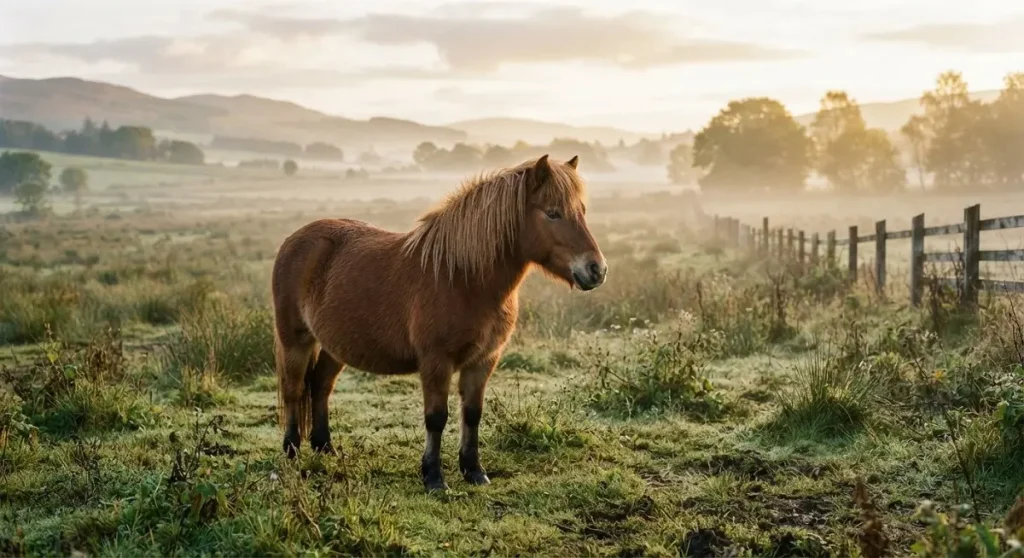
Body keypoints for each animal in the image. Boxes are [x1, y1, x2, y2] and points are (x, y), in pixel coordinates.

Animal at [271, 154, 607, 492]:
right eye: (552, 213)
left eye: (582, 210)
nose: (597, 270)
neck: (462, 278)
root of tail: (295, 239)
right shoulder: (436, 361)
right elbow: (436, 417)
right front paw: (433, 477)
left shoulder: (483, 360)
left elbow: (472, 414)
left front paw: (474, 470)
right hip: (295, 340)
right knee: (293, 389)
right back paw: (292, 451)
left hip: (335, 346)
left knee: (321, 385)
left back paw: (324, 447)